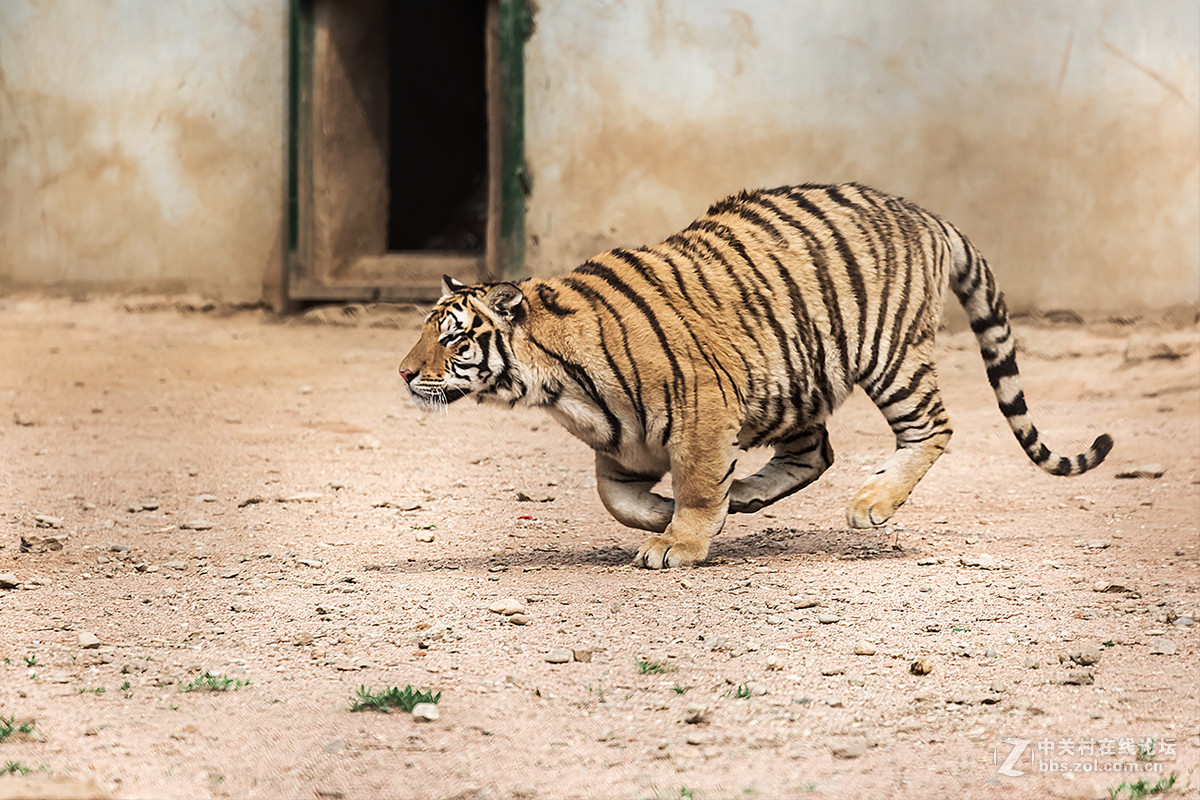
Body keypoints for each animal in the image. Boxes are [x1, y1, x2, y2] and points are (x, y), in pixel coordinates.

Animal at [398, 183, 1108, 568]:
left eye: (453, 336)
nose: (404, 374)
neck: (552, 384)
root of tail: (924, 213)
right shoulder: (621, 440)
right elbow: (616, 498)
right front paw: (667, 517)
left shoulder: (701, 407)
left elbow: (694, 482)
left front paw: (679, 540)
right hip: (794, 377)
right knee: (815, 452)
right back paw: (747, 495)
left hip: (889, 355)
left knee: (931, 427)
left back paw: (872, 502)